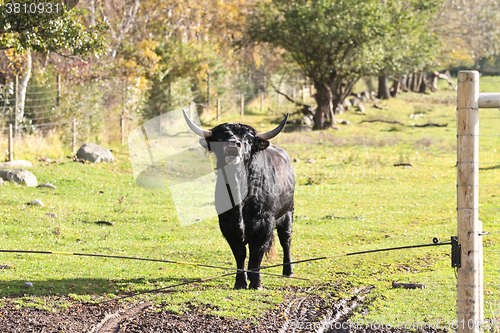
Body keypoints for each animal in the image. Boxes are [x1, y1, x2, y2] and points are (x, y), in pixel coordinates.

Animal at [183, 110, 292, 290]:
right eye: (220, 138)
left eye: (248, 140)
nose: (233, 145)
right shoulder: (226, 225)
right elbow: (240, 253)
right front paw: (240, 282)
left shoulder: (265, 223)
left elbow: (256, 253)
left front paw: (256, 284)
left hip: (288, 213)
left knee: (286, 241)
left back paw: (288, 271)